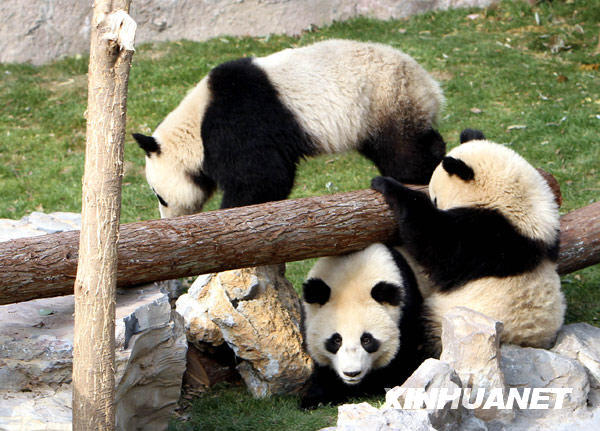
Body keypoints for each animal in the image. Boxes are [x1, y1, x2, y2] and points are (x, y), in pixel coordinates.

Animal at [135, 38, 446, 218]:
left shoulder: (237, 123)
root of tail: (430, 85)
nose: (170, 219)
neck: (193, 126)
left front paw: (233, 208)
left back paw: (422, 170)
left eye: (159, 196)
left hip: (386, 96)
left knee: (403, 151)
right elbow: (273, 178)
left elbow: (260, 177)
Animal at [372, 130, 564, 356]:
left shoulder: (484, 236)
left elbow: (435, 241)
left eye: (435, 198)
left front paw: (385, 184)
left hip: (448, 321)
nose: (436, 202)